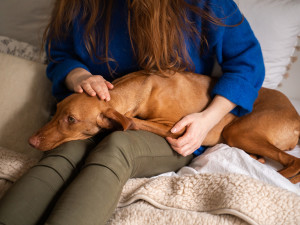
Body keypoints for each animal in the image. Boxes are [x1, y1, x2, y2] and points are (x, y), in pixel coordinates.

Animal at [28, 70, 300, 183]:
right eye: (56, 110)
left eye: (71, 119)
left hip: (238, 131)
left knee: (293, 162)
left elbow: (132, 122)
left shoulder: (177, 127)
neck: (142, 86)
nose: (31, 141)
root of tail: (296, 117)